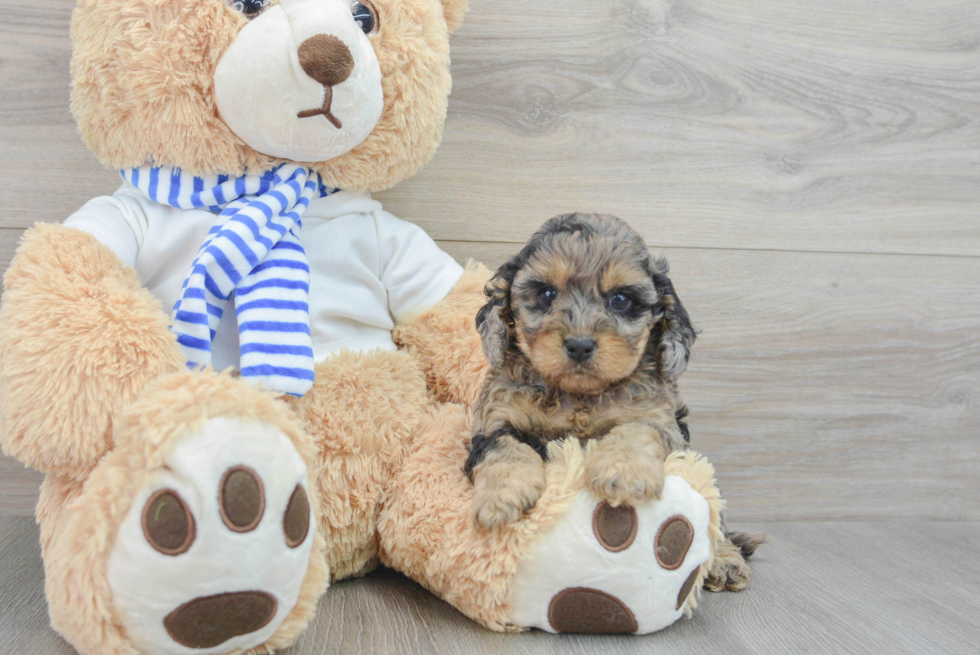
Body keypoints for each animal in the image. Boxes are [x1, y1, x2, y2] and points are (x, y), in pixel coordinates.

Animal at [464, 214, 760, 588]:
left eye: (620, 299)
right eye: (546, 294)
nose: (579, 345)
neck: (579, 395)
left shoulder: (661, 419)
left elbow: (636, 429)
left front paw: (622, 471)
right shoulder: (495, 418)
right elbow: (504, 447)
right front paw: (502, 496)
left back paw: (725, 561)